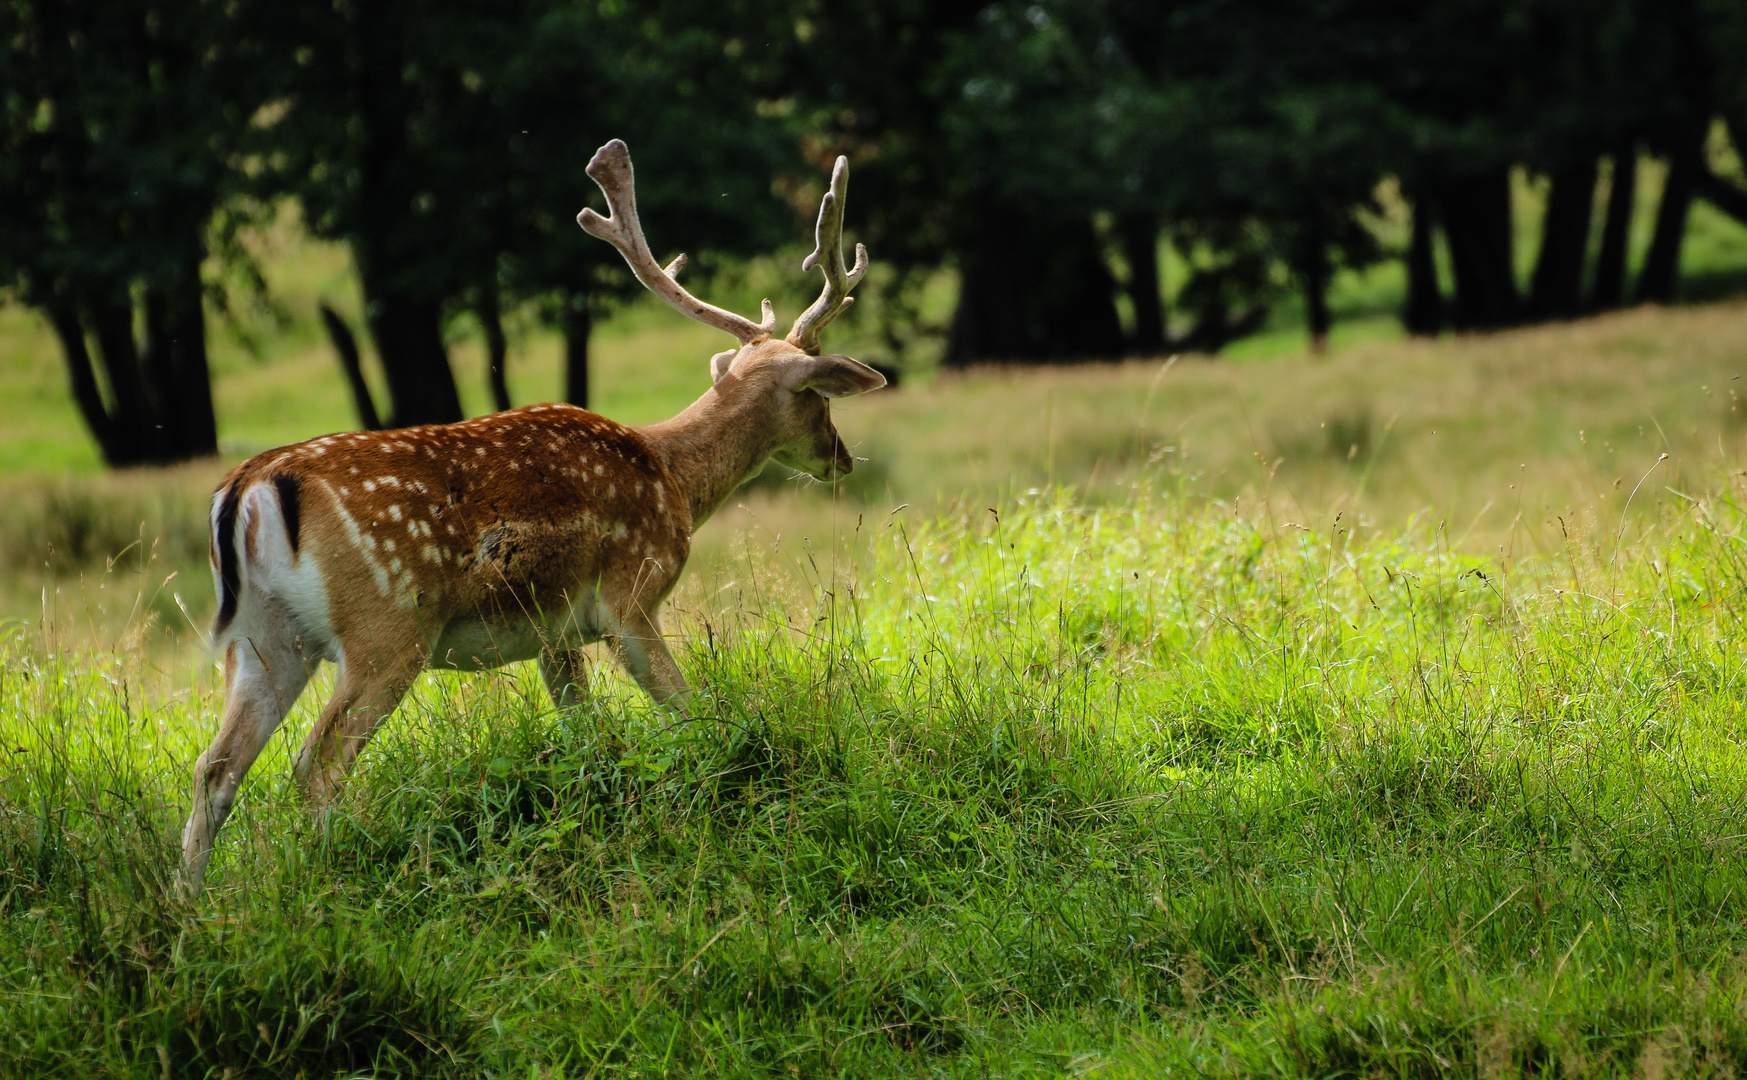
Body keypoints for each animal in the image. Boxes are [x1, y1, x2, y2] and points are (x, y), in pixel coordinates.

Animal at [184, 138, 880, 891]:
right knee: (317, 761)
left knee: (215, 767)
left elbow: (586, 738)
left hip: (266, 636)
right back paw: (336, 871)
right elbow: (688, 709)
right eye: (821, 396)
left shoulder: (556, 630)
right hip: (385, 625)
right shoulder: (630, 596)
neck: (673, 479)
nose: (843, 458)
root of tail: (250, 483)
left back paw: (189, 903)